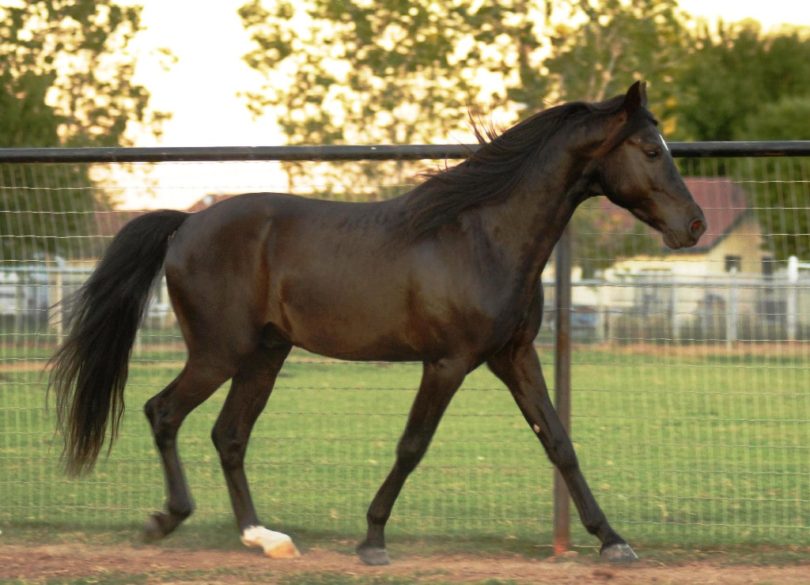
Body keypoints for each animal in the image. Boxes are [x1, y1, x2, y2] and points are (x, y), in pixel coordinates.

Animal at [49, 81, 705, 564]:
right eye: (651, 150)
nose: (695, 225)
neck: (481, 237)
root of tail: (185, 224)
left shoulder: (514, 356)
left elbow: (559, 442)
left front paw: (613, 540)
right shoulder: (448, 363)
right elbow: (412, 445)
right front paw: (372, 540)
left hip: (265, 355)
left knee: (229, 435)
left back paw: (265, 539)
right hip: (219, 353)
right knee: (164, 412)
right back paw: (167, 519)